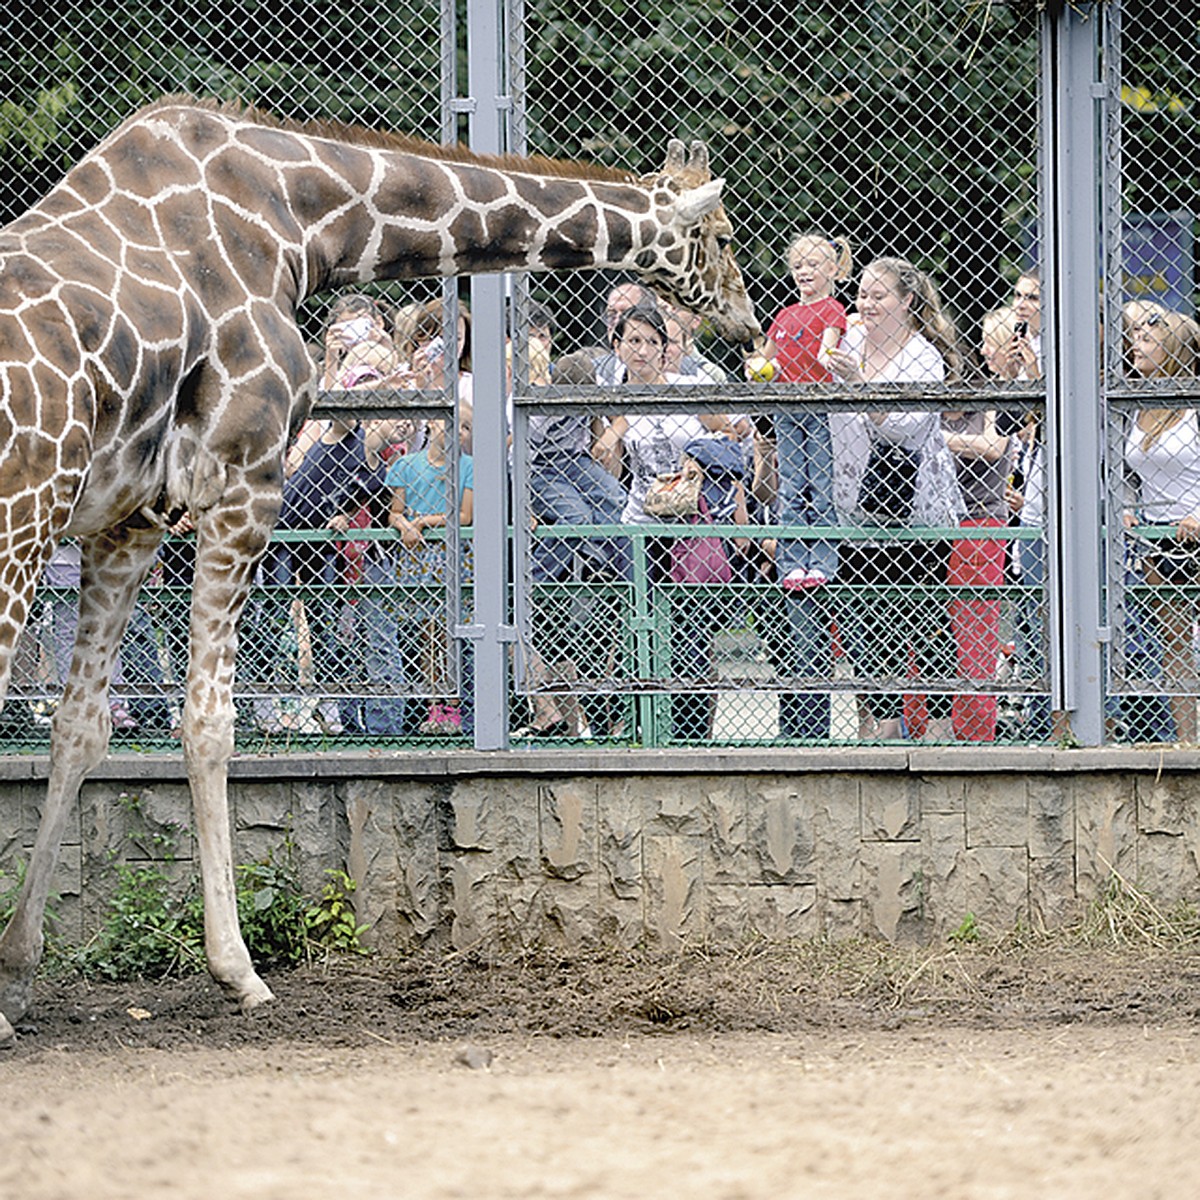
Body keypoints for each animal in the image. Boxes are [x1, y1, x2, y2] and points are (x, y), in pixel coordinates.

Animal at [0, 96, 758, 1041]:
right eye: (721, 235)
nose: (748, 324)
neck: (303, 223)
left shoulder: (131, 515)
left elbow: (80, 728)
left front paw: (18, 973)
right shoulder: (243, 480)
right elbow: (208, 723)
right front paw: (237, 970)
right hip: (26, 512)